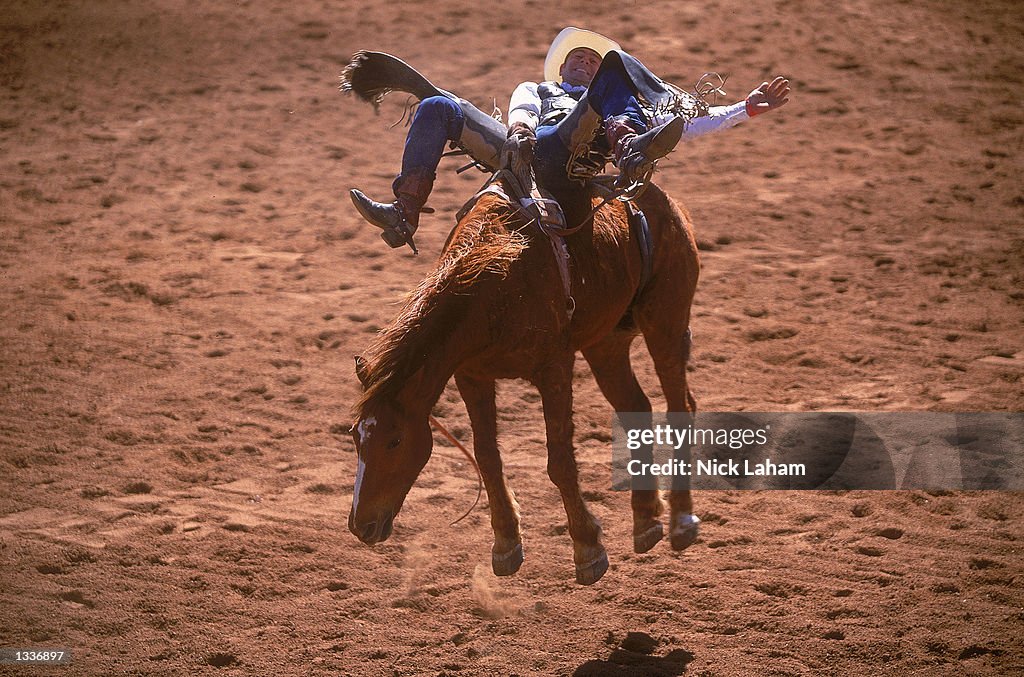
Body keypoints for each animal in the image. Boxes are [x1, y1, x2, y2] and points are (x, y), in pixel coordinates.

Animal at [348, 182, 700, 581]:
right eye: (355, 435)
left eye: (395, 440)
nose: (360, 526)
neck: (493, 284)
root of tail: (670, 205)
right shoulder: (471, 375)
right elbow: (487, 457)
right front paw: (505, 543)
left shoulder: (554, 370)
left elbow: (560, 461)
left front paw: (588, 548)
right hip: (605, 344)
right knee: (636, 408)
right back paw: (645, 521)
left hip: (666, 322)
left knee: (680, 408)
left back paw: (682, 521)